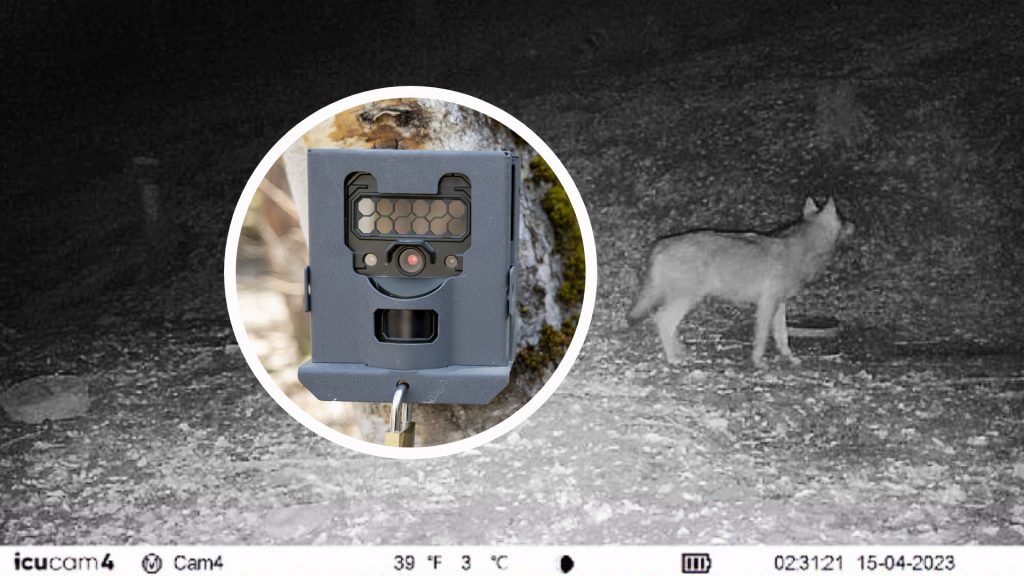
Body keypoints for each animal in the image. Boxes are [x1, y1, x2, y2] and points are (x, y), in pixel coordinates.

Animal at [627, 197, 852, 367]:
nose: (854, 224)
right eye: (842, 217)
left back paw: (679, 351)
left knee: (666, 323)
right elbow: (762, 337)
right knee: (663, 320)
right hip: (687, 299)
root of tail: (661, 244)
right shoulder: (767, 304)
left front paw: (790, 358)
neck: (803, 249)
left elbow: (783, 337)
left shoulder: (780, 304)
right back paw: (673, 358)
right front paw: (758, 362)